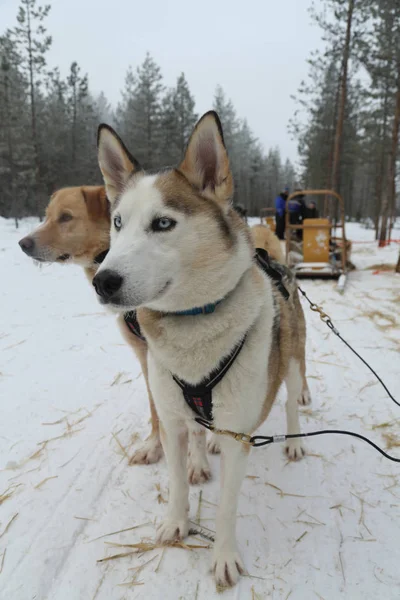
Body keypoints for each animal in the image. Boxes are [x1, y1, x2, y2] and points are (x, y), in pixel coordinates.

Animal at [93, 111, 310, 584]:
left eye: (163, 223)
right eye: (117, 222)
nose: (103, 281)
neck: (193, 320)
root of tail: (276, 261)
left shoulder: (238, 437)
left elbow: (227, 507)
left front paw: (224, 555)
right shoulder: (172, 420)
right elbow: (176, 479)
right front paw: (176, 522)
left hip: (291, 362)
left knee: (291, 400)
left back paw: (294, 440)